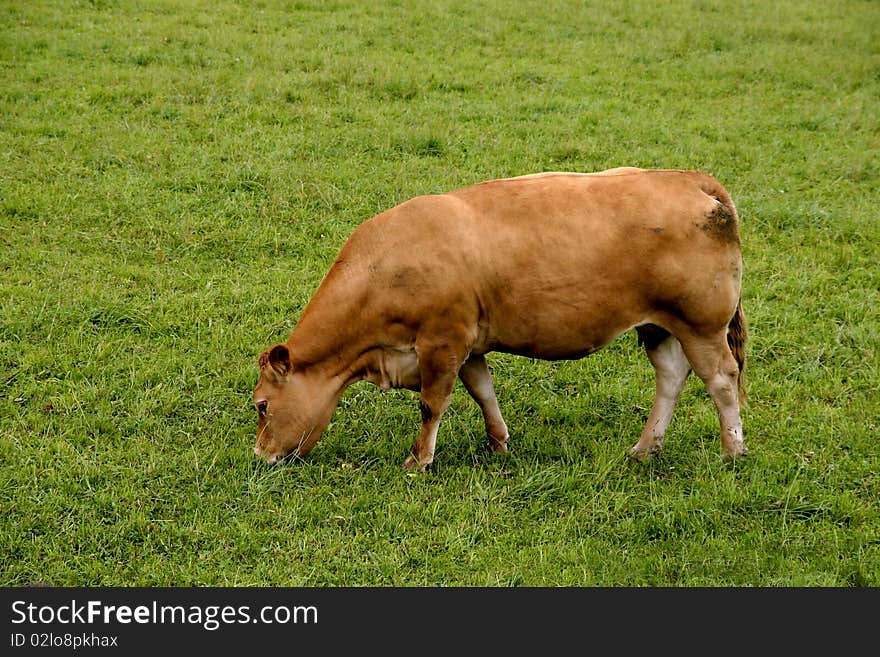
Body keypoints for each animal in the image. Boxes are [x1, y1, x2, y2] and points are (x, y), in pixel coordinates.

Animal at [254, 167, 748, 468]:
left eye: (260, 405)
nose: (260, 457)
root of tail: (688, 179)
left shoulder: (442, 340)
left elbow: (432, 404)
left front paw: (419, 460)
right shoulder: (468, 342)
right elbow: (482, 391)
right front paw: (497, 443)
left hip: (701, 325)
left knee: (721, 380)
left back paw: (732, 452)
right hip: (659, 326)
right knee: (671, 377)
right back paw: (645, 449)